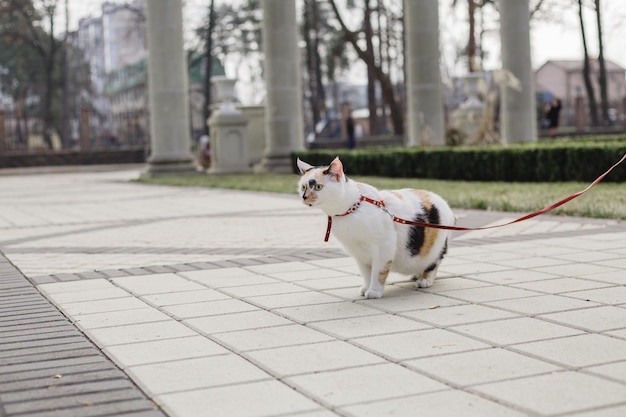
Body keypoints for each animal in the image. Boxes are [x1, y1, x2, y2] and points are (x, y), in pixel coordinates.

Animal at [294, 155, 450, 296]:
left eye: (318, 187)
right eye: (303, 187)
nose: (304, 197)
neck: (350, 210)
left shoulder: (383, 246)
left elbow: (378, 271)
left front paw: (374, 291)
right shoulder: (359, 253)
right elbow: (366, 273)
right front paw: (366, 288)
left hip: (435, 248)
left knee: (434, 263)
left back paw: (424, 280)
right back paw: (416, 275)